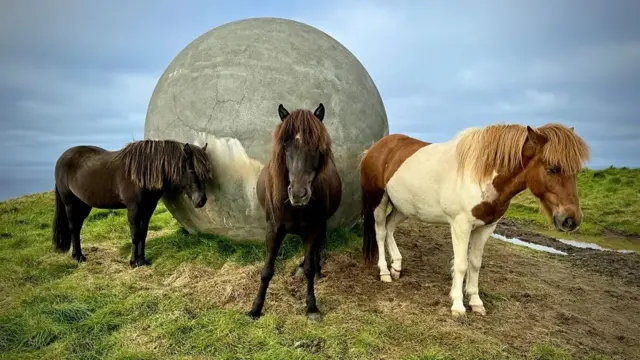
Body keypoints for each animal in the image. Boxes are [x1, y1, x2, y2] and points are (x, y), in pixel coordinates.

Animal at [52, 139, 211, 266]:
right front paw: (134, 262)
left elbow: (143, 234)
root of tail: (61, 158)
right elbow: (135, 235)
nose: (201, 200)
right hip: (70, 203)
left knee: (77, 228)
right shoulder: (134, 209)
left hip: (84, 205)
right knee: (73, 227)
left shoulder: (148, 208)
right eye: (191, 170)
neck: (142, 173)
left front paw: (143, 260)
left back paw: (77, 255)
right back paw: (78, 256)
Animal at [249, 102, 342, 320]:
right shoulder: (273, 231)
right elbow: (267, 271)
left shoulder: (313, 230)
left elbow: (309, 268)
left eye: (317, 147)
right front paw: (256, 308)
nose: (299, 194)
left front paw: (312, 307)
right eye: (286, 146)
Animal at [360, 123, 592, 316]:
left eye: (577, 172)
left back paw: (396, 266)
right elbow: (461, 264)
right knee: (380, 231)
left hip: (404, 207)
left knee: (390, 227)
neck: (482, 176)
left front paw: (475, 301)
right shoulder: (461, 226)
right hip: (379, 201)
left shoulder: (487, 227)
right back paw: (384, 272)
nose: (571, 219)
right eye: (551, 168)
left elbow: (475, 263)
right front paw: (458, 306)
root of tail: (373, 149)